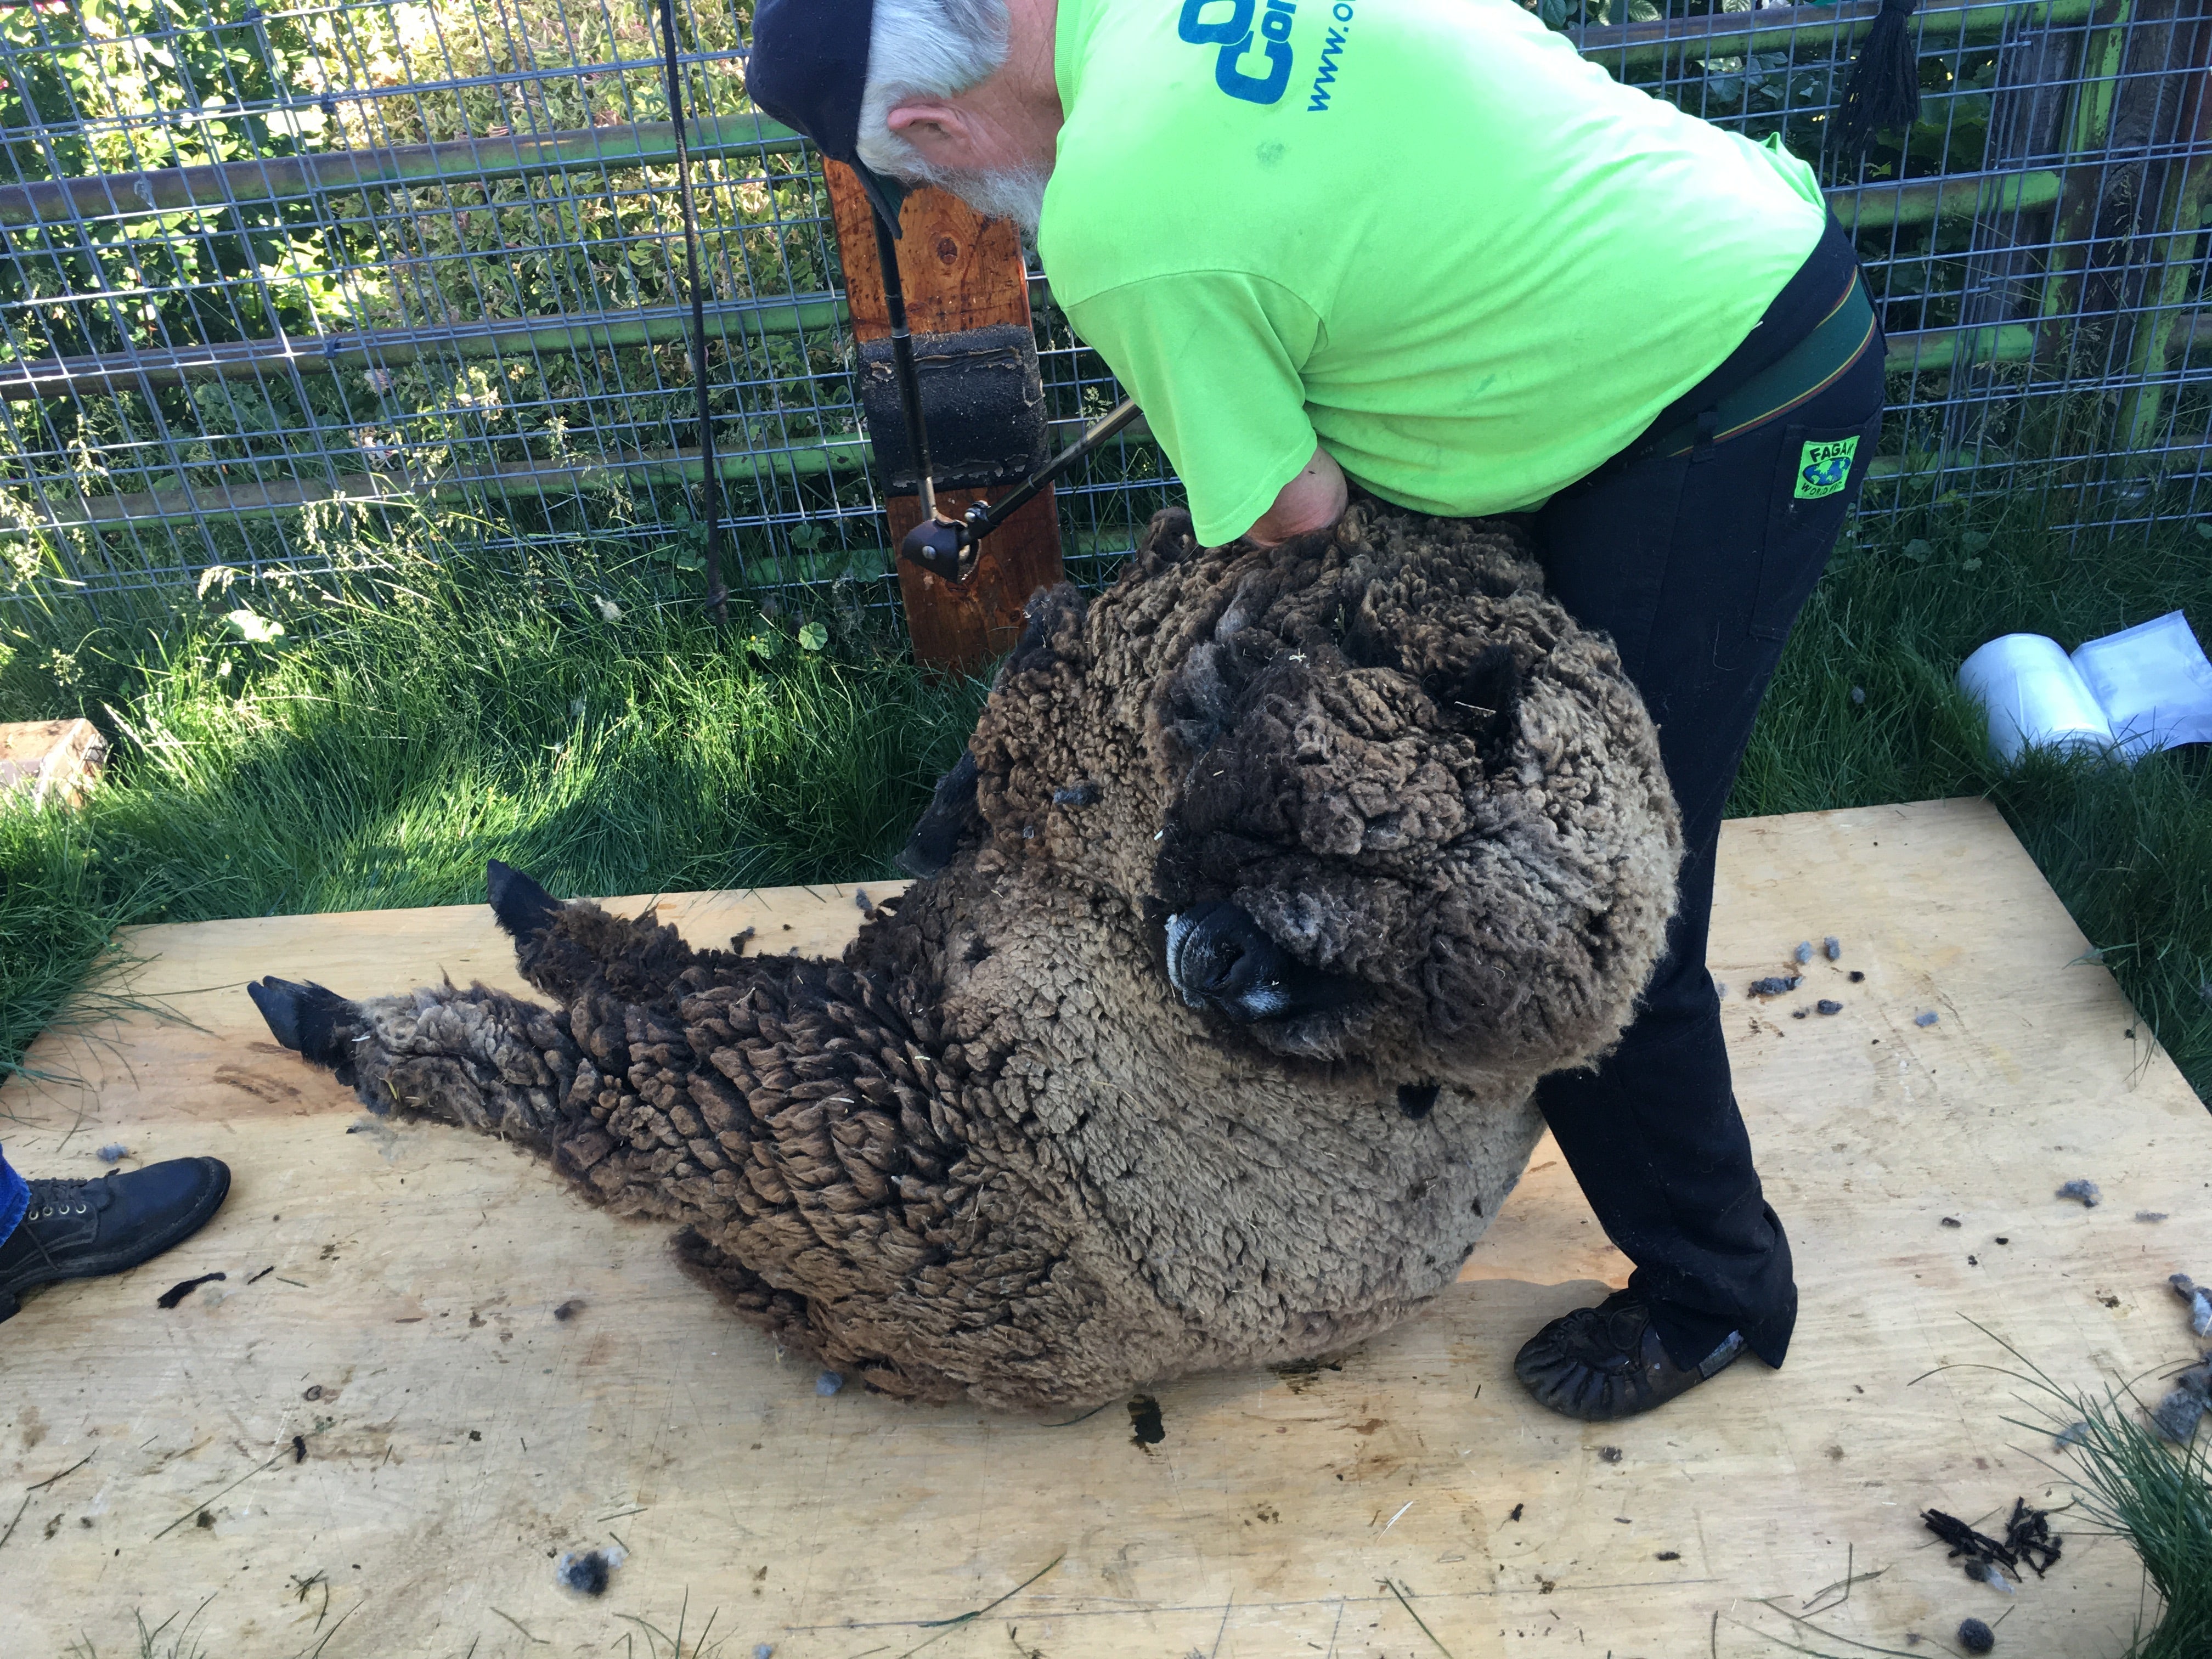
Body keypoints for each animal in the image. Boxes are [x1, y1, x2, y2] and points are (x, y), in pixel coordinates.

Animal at [247, 503, 1683, 1413]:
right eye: (1351, 879)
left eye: (1353, 989)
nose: (1218, 970)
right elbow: (1012, 726)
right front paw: (944, 812)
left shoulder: (1087, 738)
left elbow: (1023, 711)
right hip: (855, 1056)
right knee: (655, 979)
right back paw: (522, 909)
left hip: (844, 1132)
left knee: (594, 1069)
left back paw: (345, 1021)